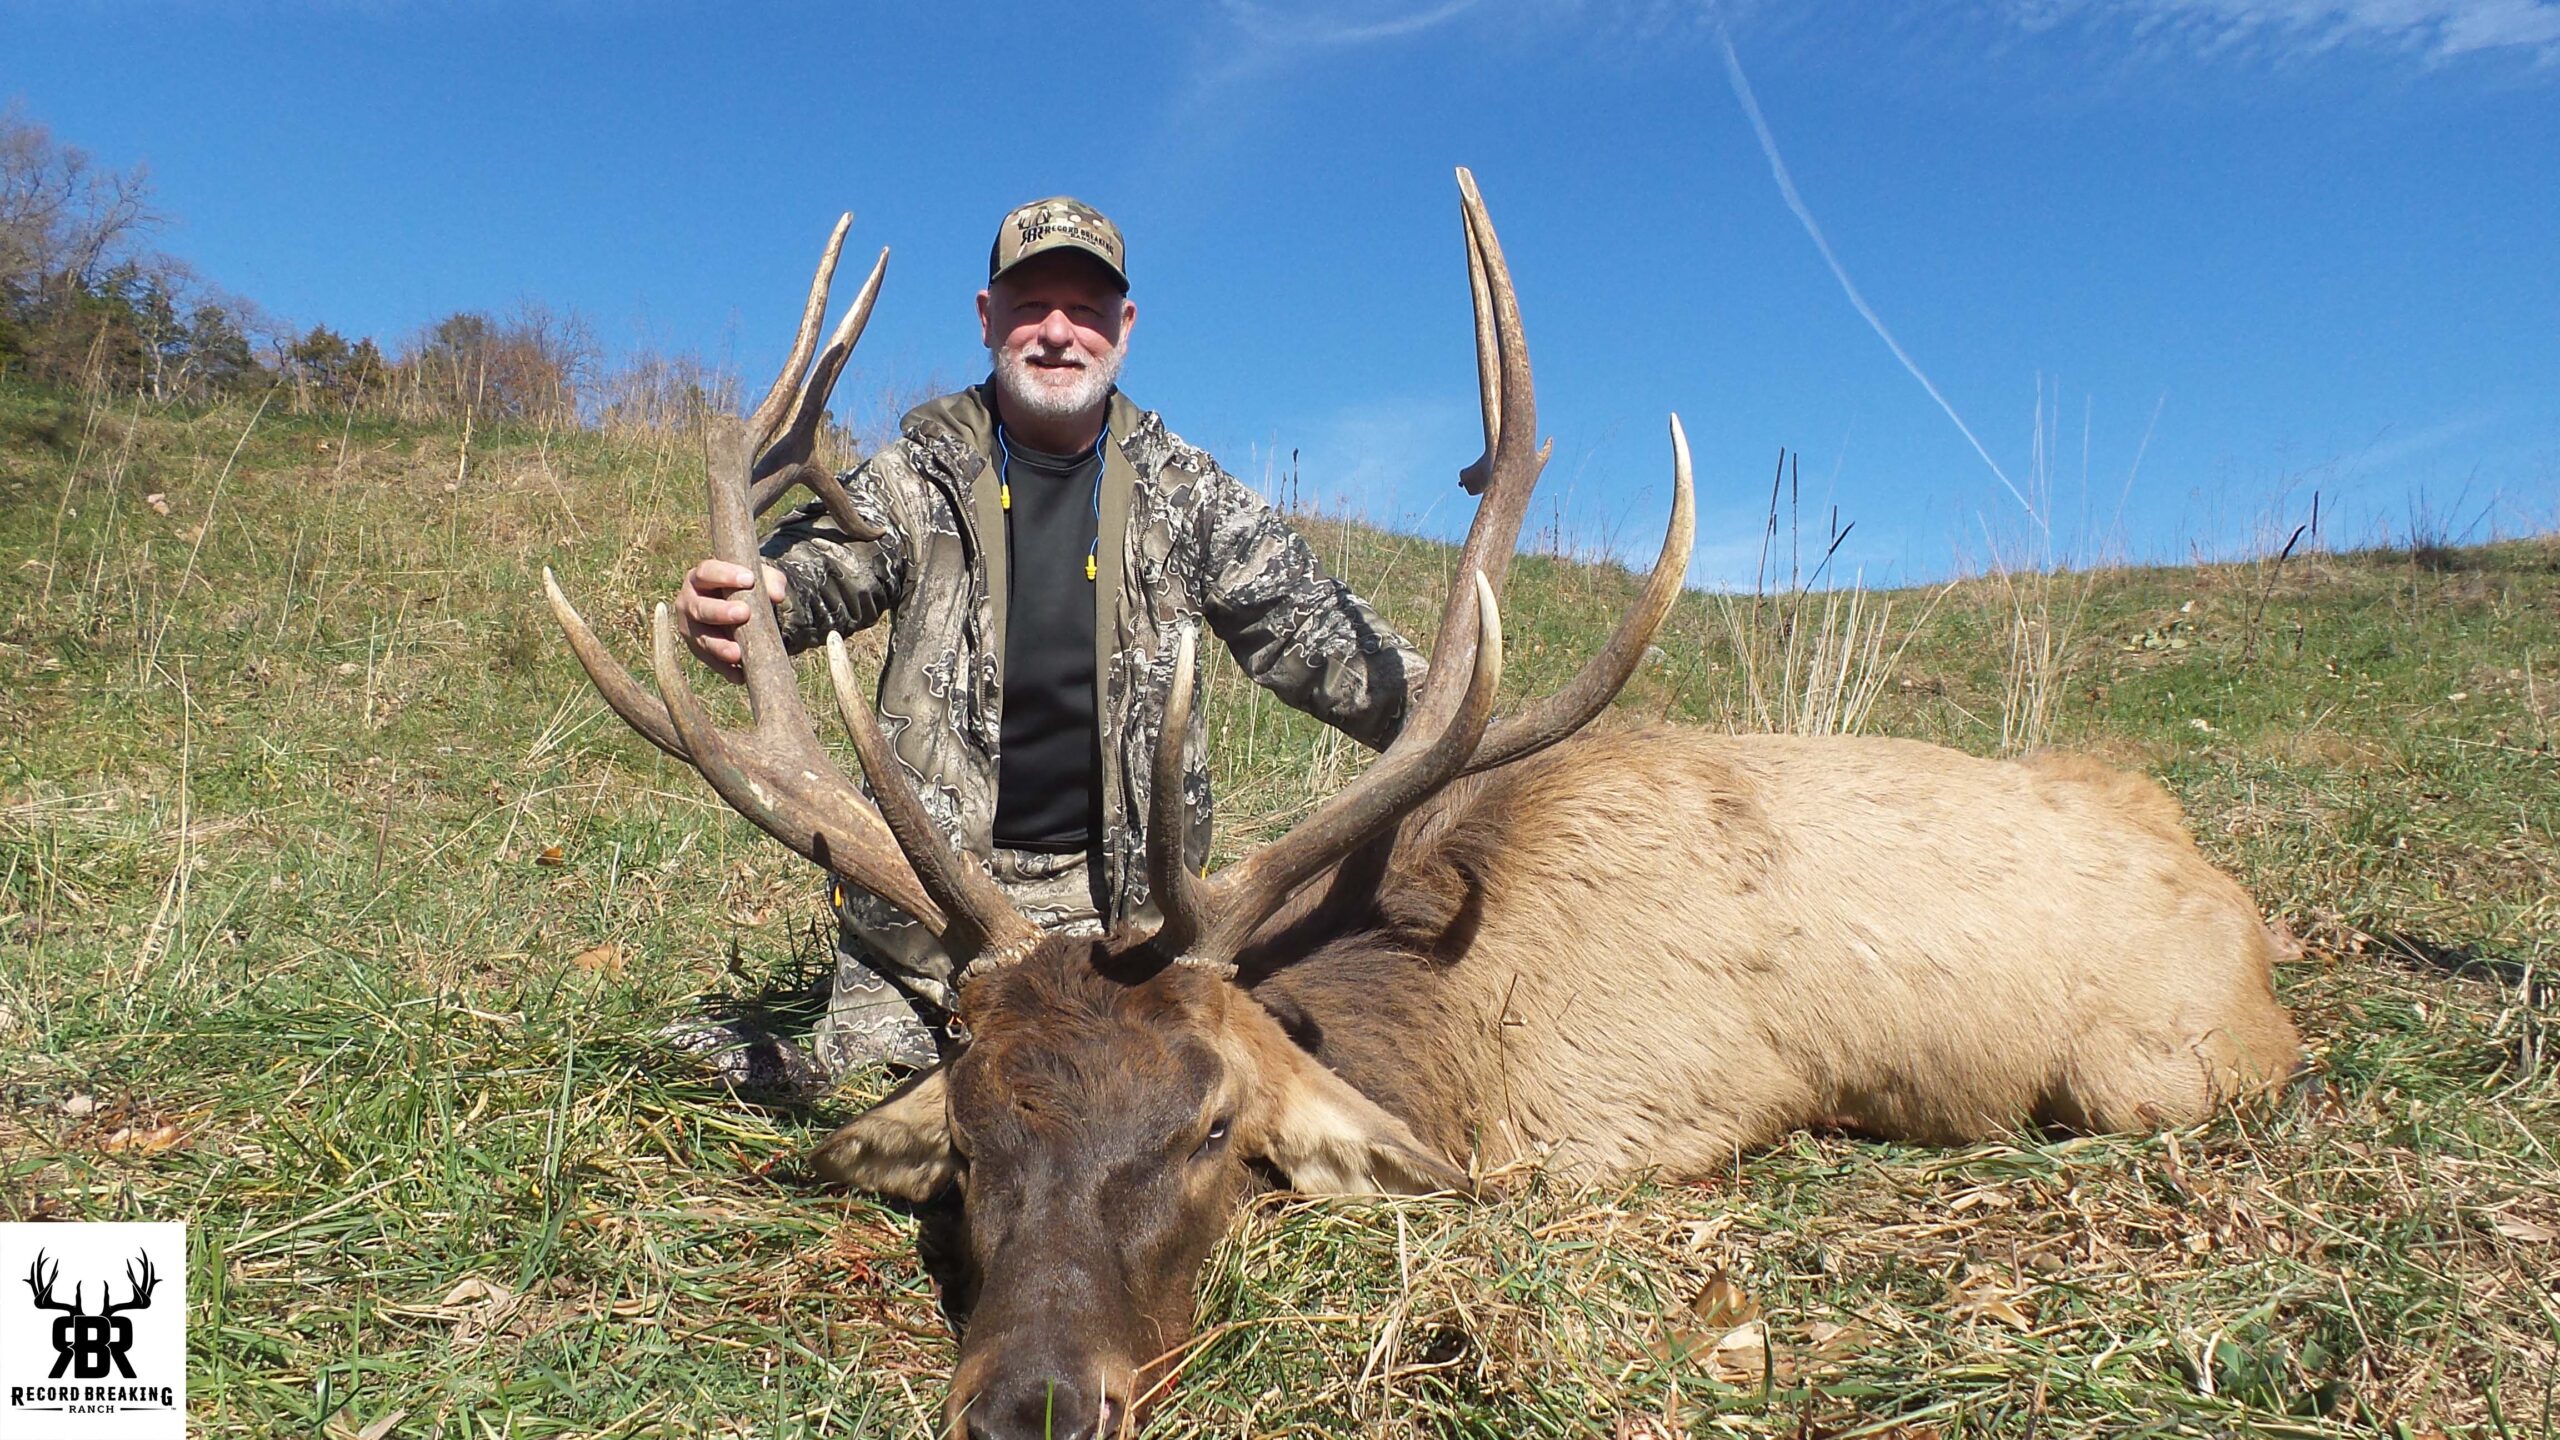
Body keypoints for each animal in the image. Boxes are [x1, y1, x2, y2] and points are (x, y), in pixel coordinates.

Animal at [544, 173, 2302, 1440]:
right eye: (970, 1137)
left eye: (1211, 1127)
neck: (1449, 1030)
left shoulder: (1622, 1129)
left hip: (2164, 1070)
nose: (1032, 1408)